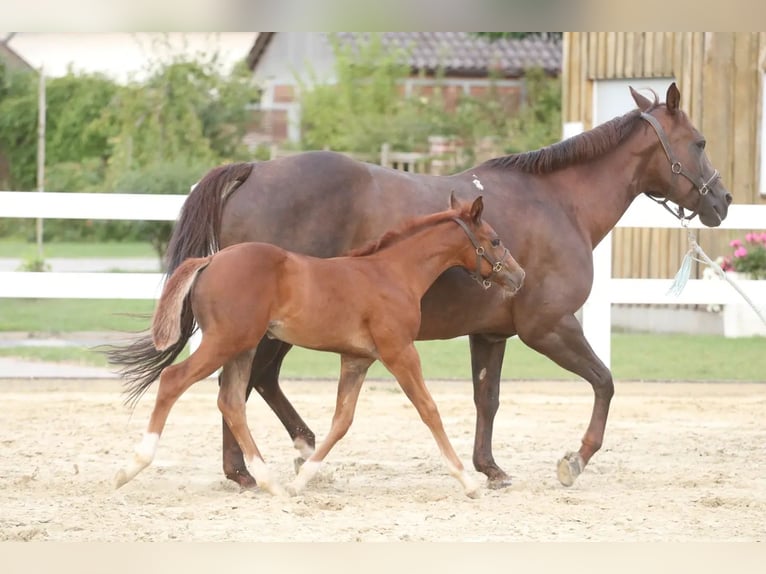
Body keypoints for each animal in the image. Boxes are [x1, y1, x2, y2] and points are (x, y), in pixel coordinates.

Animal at [114, 196, 524, 498]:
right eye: (495, 239)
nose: (519, 276)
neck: (392, 273)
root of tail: (211, 259)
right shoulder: (400, 351)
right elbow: (429, 409)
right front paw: (469, 481)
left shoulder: (357, 359)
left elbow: (342, 421)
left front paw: (301, 480)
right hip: (225, 341)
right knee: (174, 380)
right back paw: (131, 467)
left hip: (243, 347)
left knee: (230, 401)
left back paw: (270, 482)